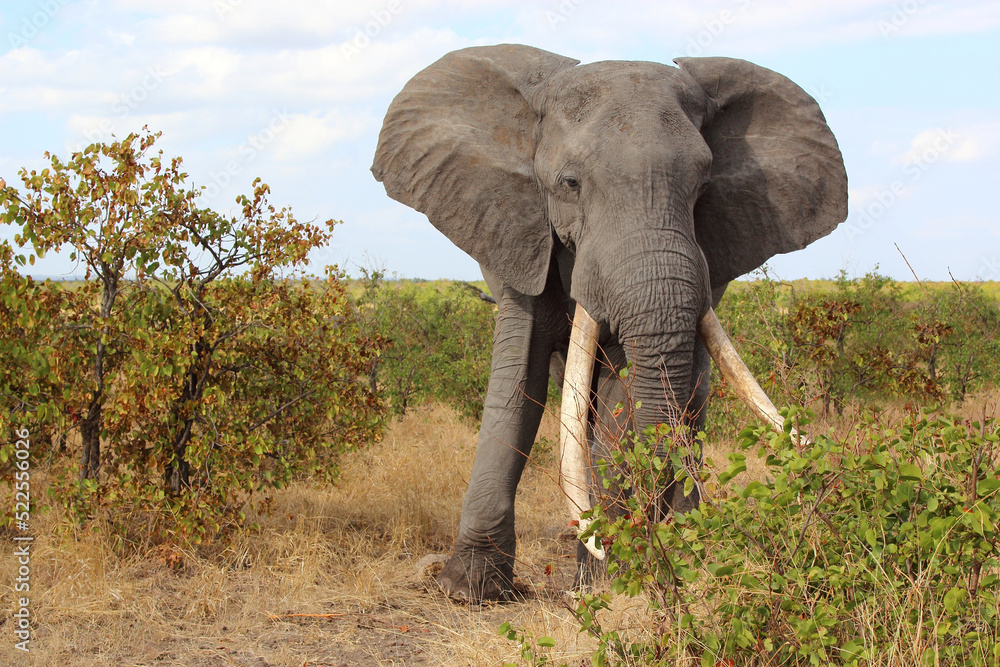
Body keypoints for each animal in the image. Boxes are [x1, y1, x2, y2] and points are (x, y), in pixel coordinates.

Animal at [371, 44, 847, 601]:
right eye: (570, 183)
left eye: (703, 188)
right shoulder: (520, 234)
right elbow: (516, 385)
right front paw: (467, 591)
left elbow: (622, 397)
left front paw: (606, 587)